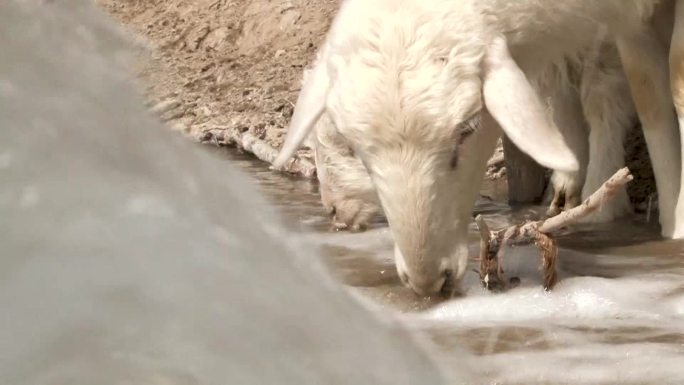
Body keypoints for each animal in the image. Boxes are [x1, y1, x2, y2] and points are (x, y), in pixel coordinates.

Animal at [276, 0, 680, 294]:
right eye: (357, 146)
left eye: (467, 130)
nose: (426, 280)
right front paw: (570, 177)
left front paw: (665, 224)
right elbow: (634, 88)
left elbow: (646, 87)